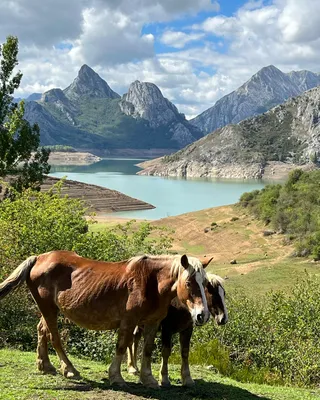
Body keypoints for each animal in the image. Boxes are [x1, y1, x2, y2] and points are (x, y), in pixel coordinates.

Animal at [0, 250, 210, 388]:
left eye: (205, 283)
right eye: (189, 282)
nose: (203, 315)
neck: (150, 283)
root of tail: (39, 258)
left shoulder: (152, 323)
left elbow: (148, 349)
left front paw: (148, 378)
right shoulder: (129, 321)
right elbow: (122, 346)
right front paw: (116, 377)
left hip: (50, 309)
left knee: (42, 330)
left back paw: (45, 366)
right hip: (48, 308)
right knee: (54, 337)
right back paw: (69, 369)